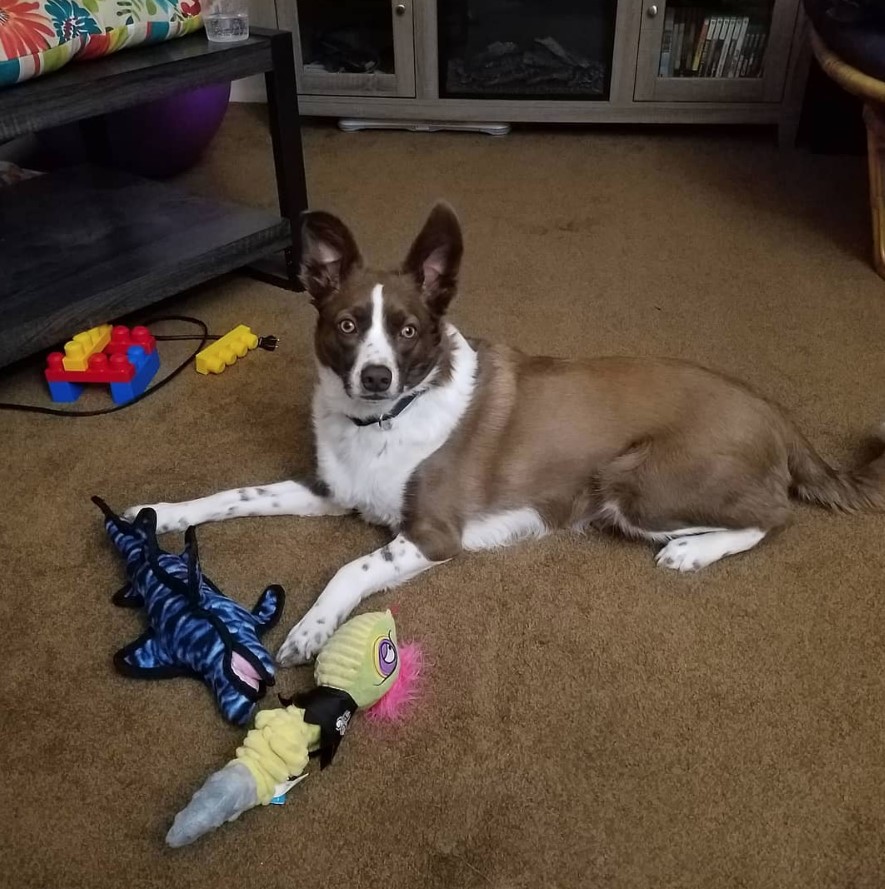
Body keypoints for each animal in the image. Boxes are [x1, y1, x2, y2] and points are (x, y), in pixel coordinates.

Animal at [129, 199, 884, 660]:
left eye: (407, 330)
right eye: (346, 324)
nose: (374, 376)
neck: (383, 421)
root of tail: (769, 407)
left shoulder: (433, 534)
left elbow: (350, 566)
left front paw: (311, 629)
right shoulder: (328, 488)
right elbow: (237, 493)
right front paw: (163, 512)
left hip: (635, 485)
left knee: (775, 514)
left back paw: (695, 552)